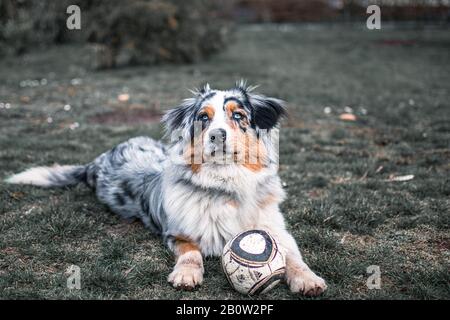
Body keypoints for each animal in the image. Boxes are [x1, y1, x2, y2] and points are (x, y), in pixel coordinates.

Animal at [6, 81, 326, 296]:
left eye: (238, 116)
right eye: (203, 117)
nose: (217, 135)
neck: (226, 185)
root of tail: (96, 161)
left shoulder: (275, 228)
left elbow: (292, 255)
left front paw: (308, 279)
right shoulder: (177, 233)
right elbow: (191, 252)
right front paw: (186, 274)